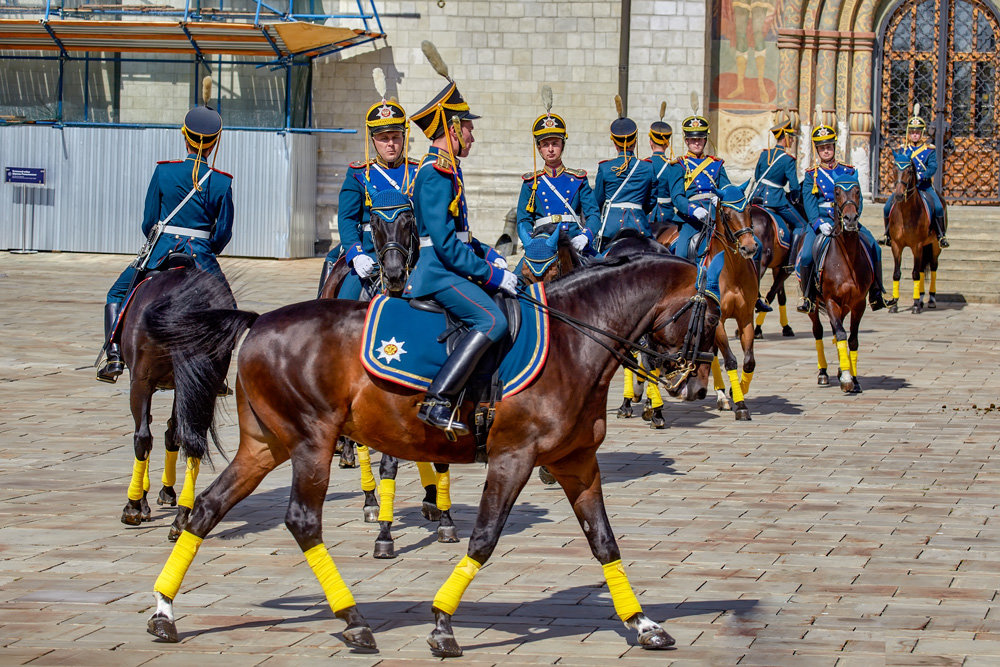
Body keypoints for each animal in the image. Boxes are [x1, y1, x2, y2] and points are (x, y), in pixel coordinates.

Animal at [113, 258, 236, 544]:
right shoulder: (184, 386)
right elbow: (173, 433)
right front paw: (165, 492)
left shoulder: (142, 381)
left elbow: (147, 432)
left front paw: (141, 502)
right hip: (202, 383)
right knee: (192, 441)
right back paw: (181, 518)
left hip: (142, 381)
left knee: (143, 437)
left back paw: (133, 507)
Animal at [145, 253, 720, 656]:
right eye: (712, 315)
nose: (694, 387)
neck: (574, 340)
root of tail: (260, 322)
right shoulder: (514, 458)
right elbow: (484, 539)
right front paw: (443, 623)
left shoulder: (576, 463)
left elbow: (605, 543)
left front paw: (643, 624)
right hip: (312, 442)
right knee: (303, 521)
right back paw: (354, 621)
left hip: (266, 446)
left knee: (207, 510)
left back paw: (164, 612)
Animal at [318, 204, 456, 560]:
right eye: (376, 222)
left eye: (409, 221)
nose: (394, 274)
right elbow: (388, 464)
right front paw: (385, 533)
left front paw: (444, 516)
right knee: (365, 443)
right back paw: (370, 500)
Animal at [804, 180, 868, 394]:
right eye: (837, 192)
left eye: (857, 191)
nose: (850, 219)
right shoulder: (831, 300)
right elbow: (840, 333)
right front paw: (847, 378)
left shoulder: (858, 304)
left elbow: (852, 339)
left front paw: (852, 377)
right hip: (814, 304)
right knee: (818, 331)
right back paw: (823, 373)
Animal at [888, 151, 940, 314]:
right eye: (894, 169)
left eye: (909, 171)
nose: (898, 195)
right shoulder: (896, 246)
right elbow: (896, 274)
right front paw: (895, 304)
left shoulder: (917, 245)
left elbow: (916, 273)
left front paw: (916, 305)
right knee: (923, 268)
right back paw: (922, 298)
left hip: (935, 246)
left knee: (933, 267)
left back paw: (930, 299)